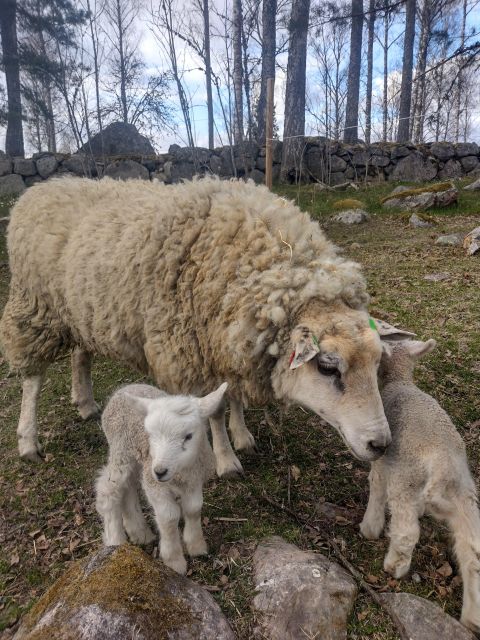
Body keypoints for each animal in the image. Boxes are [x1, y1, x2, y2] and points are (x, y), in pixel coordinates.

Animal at [0, 178, 412, 472]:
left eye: (378, 364)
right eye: (327, 367)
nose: (381, 445)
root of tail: (40, 187)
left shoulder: (229, 340)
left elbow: (232, 395)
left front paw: (241, 433)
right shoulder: (194, 354)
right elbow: (213, 408)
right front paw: (226, 460)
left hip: (80, 308)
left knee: (80, 353)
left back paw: (85, 403)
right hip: (34, 306)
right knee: (32, 378)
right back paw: (28, 440)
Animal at [96, 380, 228, 576]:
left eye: (188, 436)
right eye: (151, 435)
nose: (160, 471)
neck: (180, 472)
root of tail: (123, 389)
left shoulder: (194, 479)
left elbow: (193, 508)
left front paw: (196, 546)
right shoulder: (155, 485)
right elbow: (169, 517)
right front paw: (174, 561)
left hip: (138, 457)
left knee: (128, 487)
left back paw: (140, 533)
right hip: (121, 449)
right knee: (109, 490)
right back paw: (115, 542)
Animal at [360, 340, 480, 636]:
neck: (400, 380)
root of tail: (444, 462)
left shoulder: (384, 460)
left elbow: (375, 487)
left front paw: (370, 527)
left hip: (407, 478)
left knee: (406, 531)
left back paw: (394, 566)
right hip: (464, 494)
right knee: (472, 551)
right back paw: (472, 616)